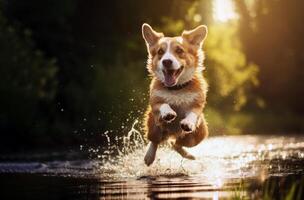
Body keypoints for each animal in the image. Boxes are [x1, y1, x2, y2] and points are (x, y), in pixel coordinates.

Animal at [142, 23, 209, 166]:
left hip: (197, 136)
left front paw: (188, 123)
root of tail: (171, 134)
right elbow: (163, 104)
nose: (166, 61)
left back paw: (188, 155)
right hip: (154, 127)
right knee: (155, 140)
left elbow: (192, 113)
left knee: (176, 144)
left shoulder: (197, 105)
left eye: (179, 51)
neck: (176, 89)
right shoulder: (155, 103)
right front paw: (168, 113)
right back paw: (149, 156)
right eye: (160, 52)